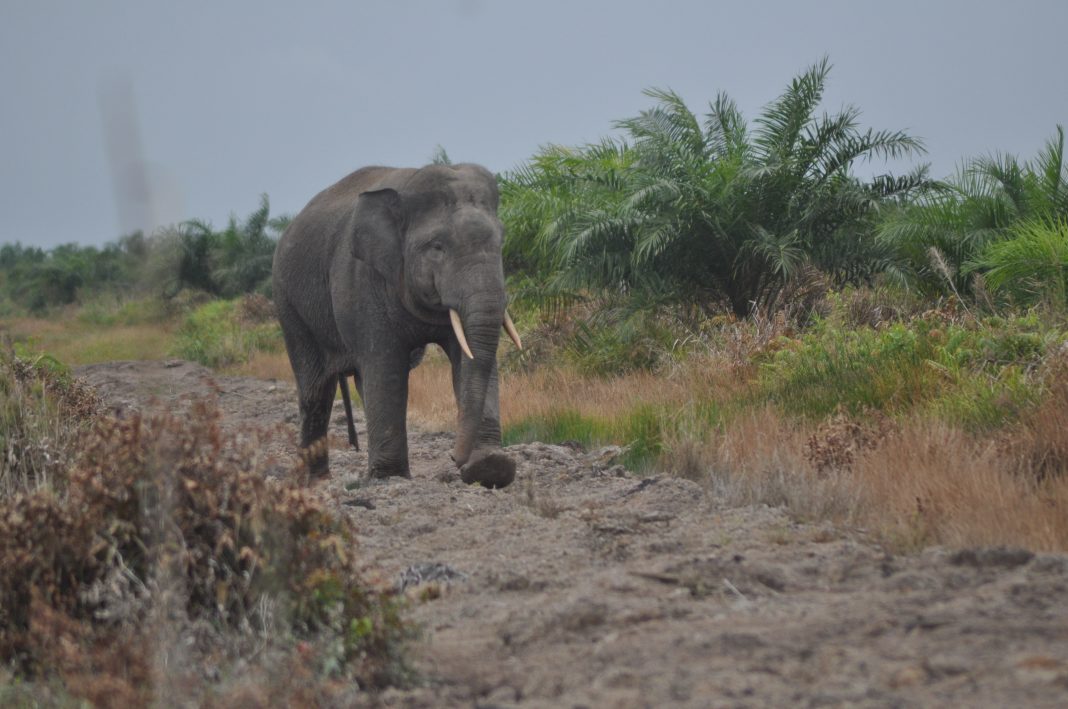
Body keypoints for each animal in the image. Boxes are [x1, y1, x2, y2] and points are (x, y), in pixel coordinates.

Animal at [271, 164, 521, 491]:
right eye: (437, 246)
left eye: (501, 242)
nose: (455, 458)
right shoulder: (362, 281)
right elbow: (385, 365)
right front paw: (389, 476)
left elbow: (468, 355)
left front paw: (491, 468)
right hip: (288, 305)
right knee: (316, 389)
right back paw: (317, 481)